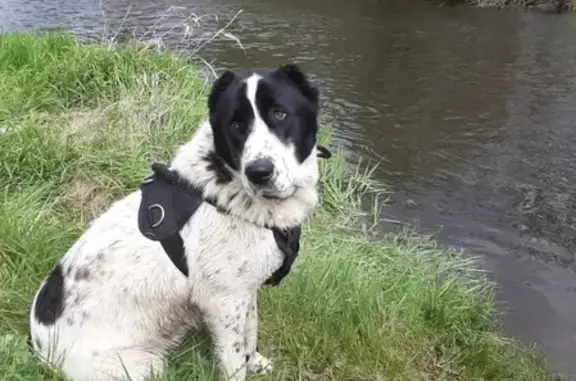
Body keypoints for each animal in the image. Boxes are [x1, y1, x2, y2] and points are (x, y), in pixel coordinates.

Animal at [29, 65, 330, 380]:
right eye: (235, 125)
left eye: (279, 114)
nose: (259, 172)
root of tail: (42, 351)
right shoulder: (224, 300)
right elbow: (235, 356)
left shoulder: (245, 291)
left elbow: (250, 331)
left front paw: (254, 361)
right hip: (144, 365)